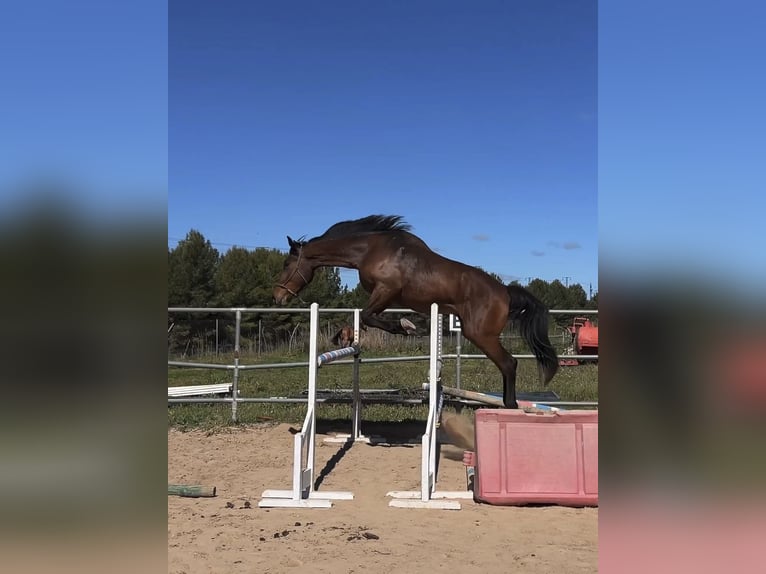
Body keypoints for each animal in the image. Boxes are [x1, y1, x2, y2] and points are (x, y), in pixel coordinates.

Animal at [273, 214, 559, 409]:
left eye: (287, 263)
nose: (277, 296)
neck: (369, 249)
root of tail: (505, 292)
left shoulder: (386, 290)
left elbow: (368, 316)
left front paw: (407, 327)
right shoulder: (385, 296)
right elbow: (366, 317)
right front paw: (343, 336)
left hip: (481, 335)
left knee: (509, 363)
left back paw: (510, 407)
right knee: (507, 365)